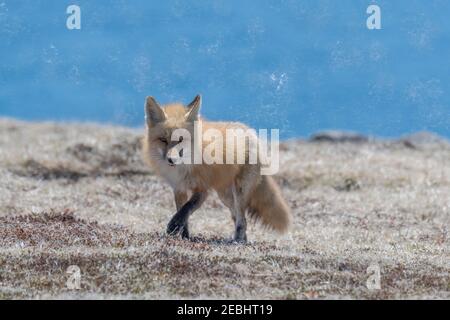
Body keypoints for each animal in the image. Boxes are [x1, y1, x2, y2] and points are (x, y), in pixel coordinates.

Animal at [143, 95, 292, 242]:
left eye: (180, 139)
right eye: (163, 140)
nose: (171, 159)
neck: (185, 167)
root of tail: (251, 132)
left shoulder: (202, 190)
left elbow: (185, 210)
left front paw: (174, 226)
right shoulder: (179, 188)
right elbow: (183, 216)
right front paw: (185, 237)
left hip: (239, 191)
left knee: (242, 219)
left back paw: (237, 241)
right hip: (225, 197)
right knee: (238, 218)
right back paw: (242, 239)